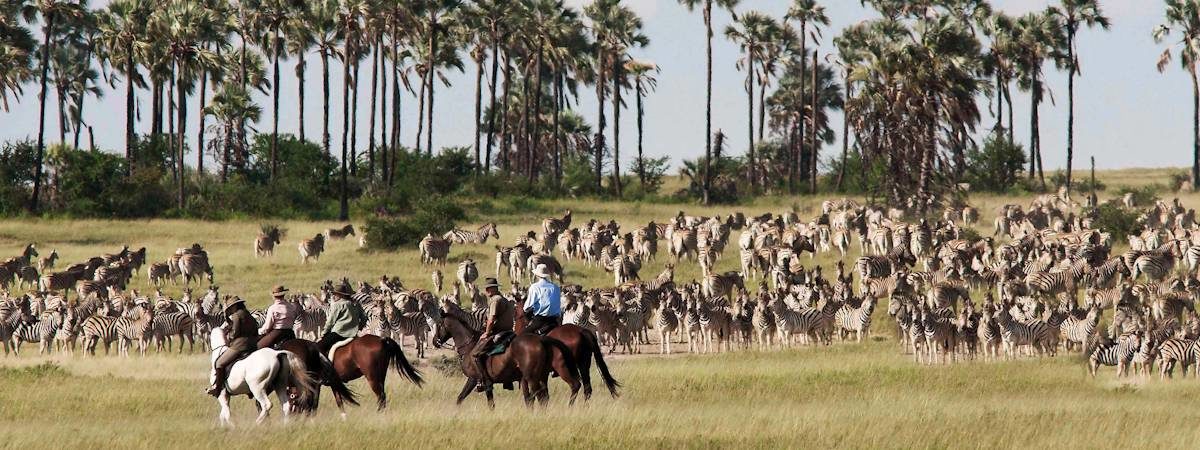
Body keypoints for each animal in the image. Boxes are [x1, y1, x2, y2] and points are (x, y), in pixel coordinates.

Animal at [434, 314, 583, 408]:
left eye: (439, 324)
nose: (435, 341)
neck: (470, 346)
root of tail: (541, 339)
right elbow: (465, 398)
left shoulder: (474, 379)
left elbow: (464, 397)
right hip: (540, 376)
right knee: (543, 397)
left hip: (543, 374)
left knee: (563, 388)